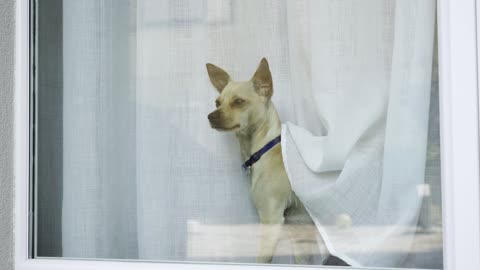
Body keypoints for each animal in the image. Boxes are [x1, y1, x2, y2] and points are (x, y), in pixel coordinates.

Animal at [204, 58, 332, 264]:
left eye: (238, 101)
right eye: (217, 102)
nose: (210, 116)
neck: (263, 150)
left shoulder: (271, 219)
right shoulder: (298, 230)